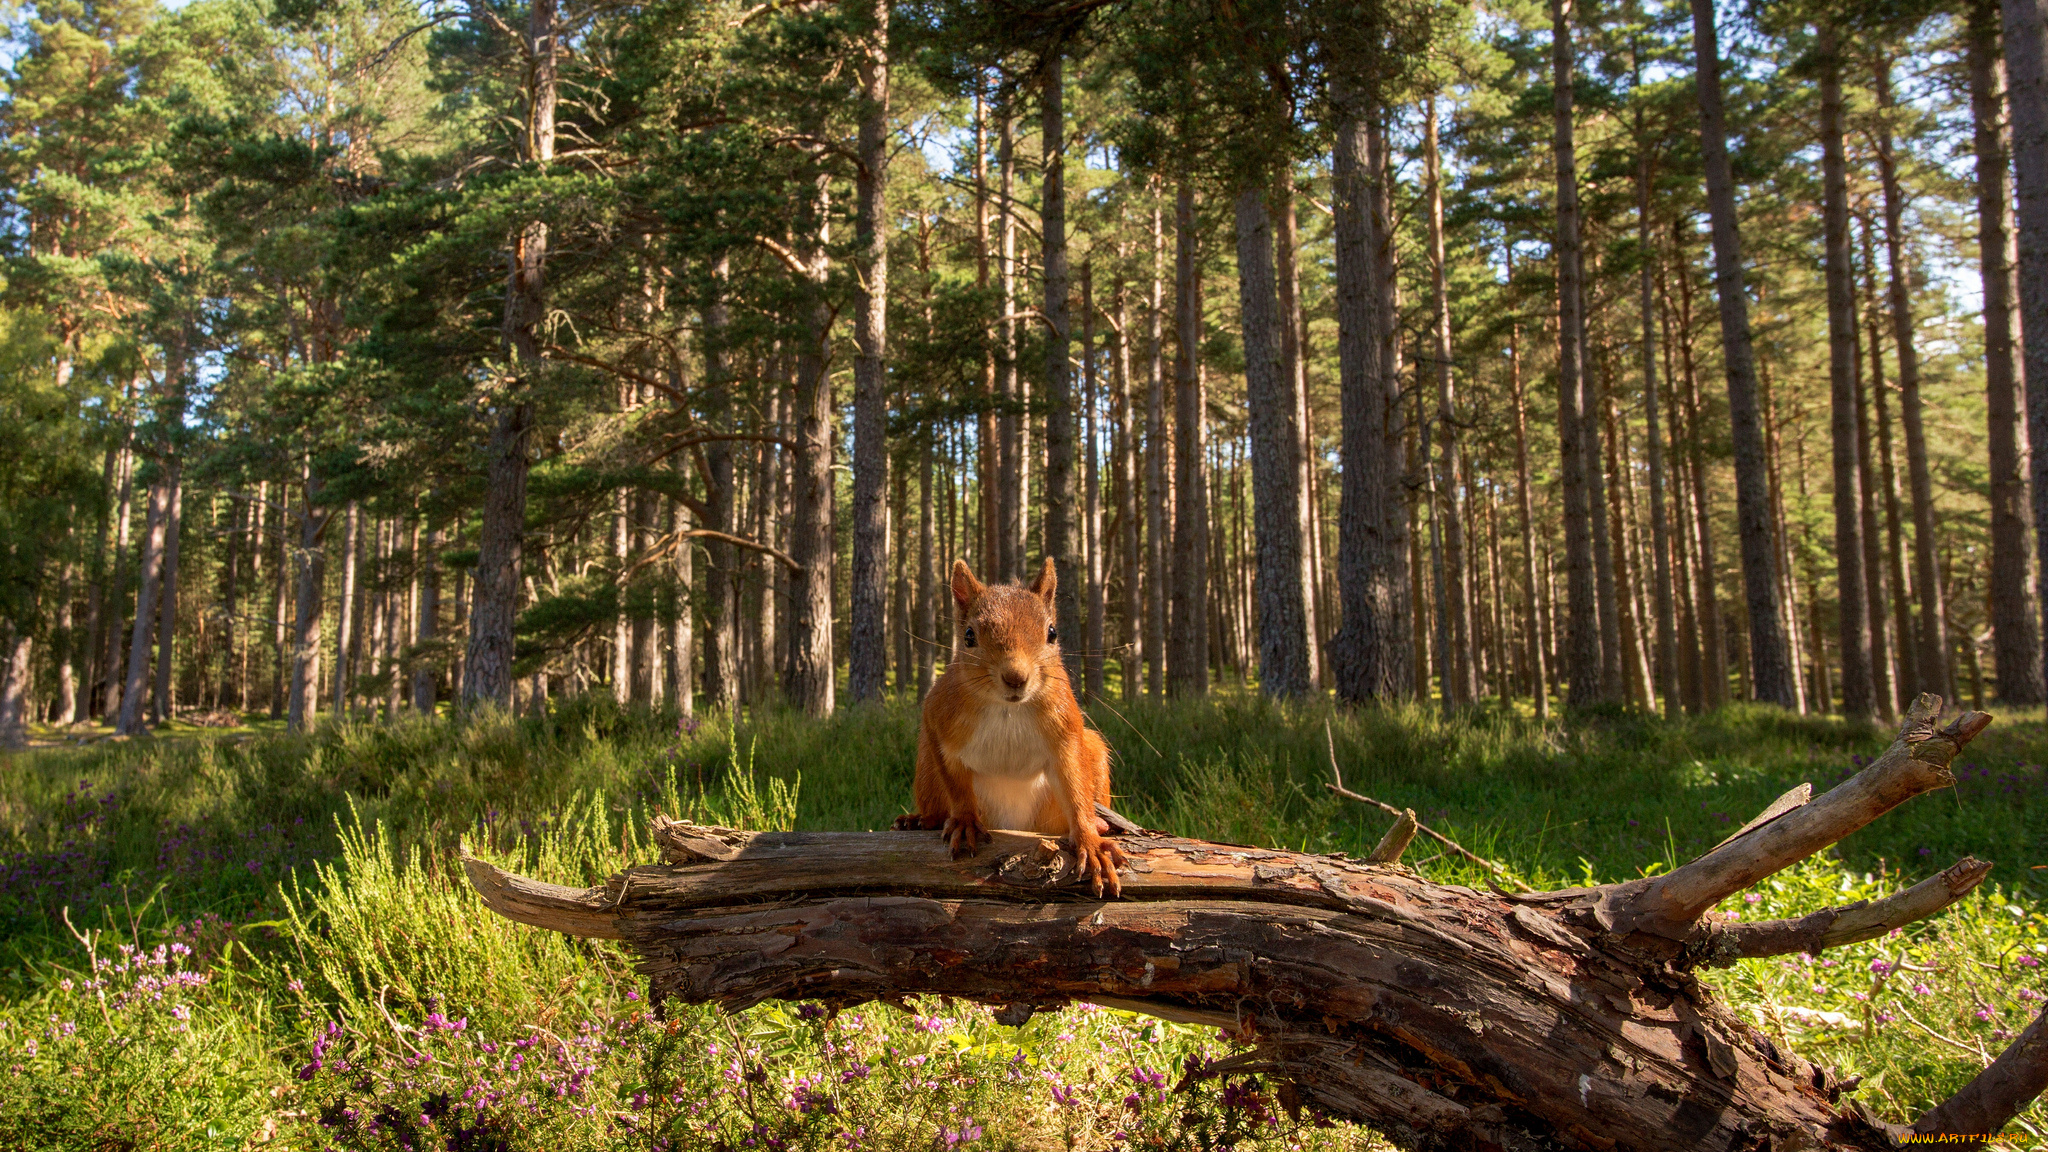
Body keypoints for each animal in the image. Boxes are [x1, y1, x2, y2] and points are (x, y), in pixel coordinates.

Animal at [888, 553, 1130, 893]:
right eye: (969, 636)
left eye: (1052, 633)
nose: (1015, 677)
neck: (1007, 710)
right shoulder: (937, 717)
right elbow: (955, 782)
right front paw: (964, 820)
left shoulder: (1065, 730)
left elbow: (1074, 786)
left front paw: (1090, 841)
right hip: (925, 769)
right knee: (935, 799)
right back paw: (921, 820)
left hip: (1091, 755)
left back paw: (1100, 824)